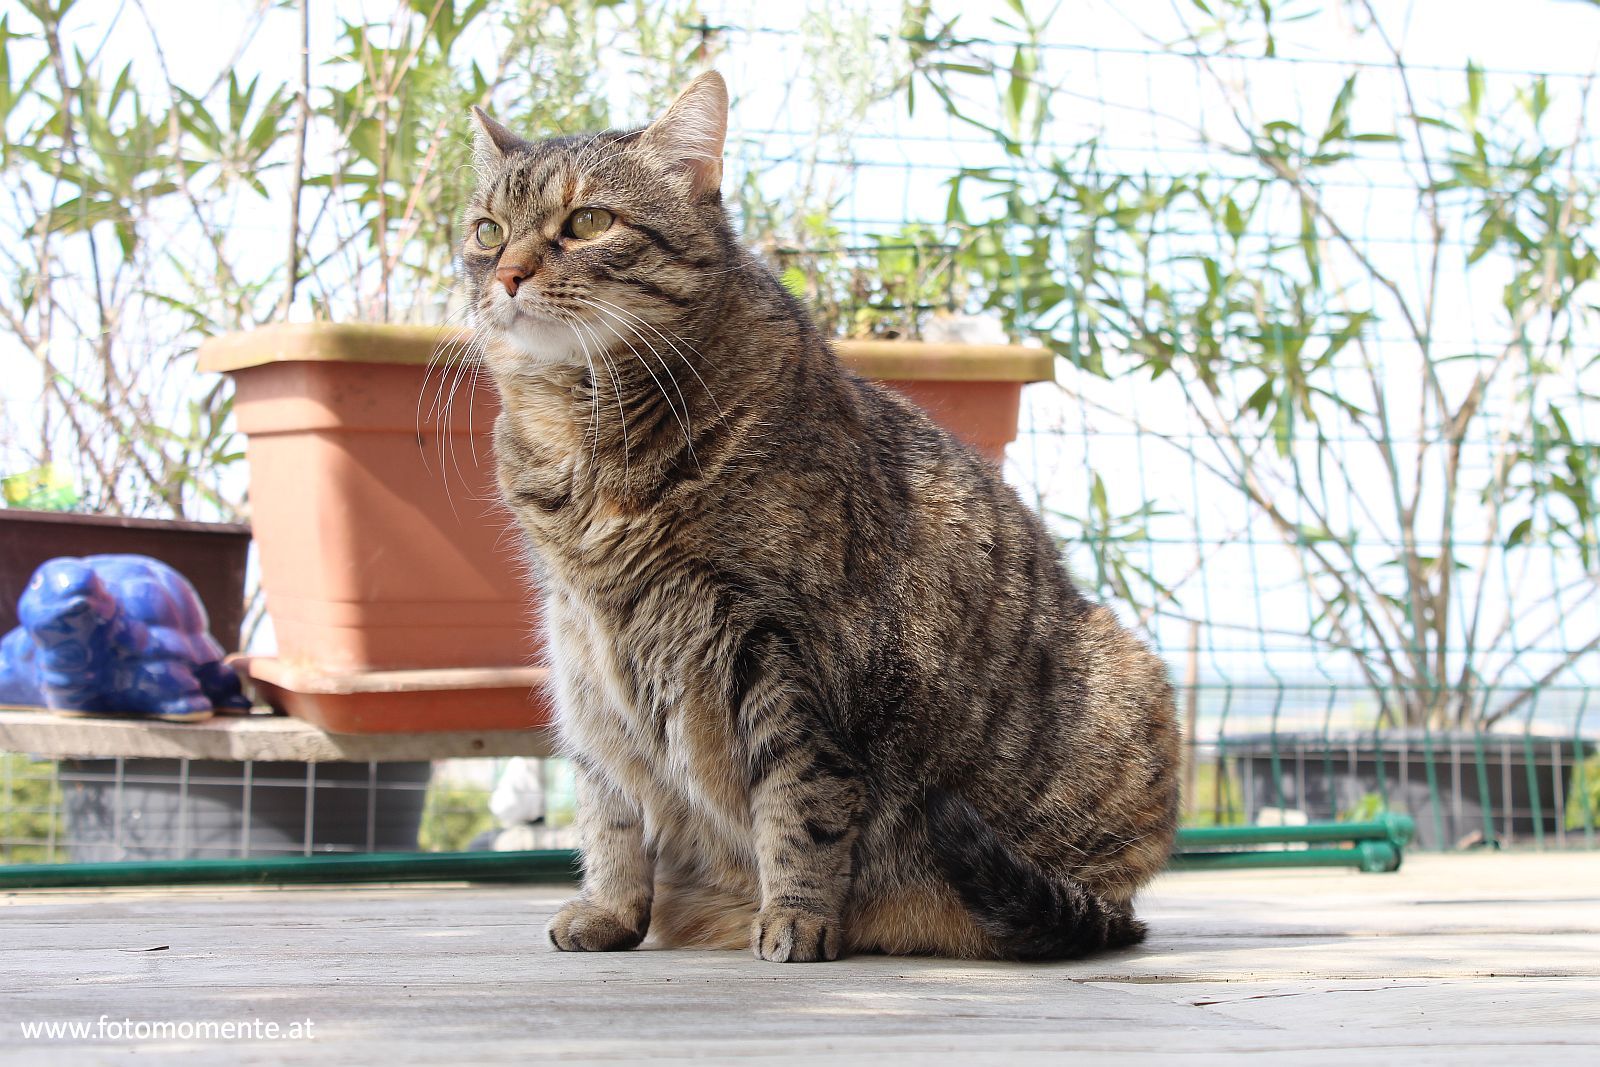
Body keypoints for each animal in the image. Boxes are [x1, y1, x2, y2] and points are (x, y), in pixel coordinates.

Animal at [457, 70, 1184, 966]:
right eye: (488, 230)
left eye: (587, 222)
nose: (507, 275)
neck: (584, 441)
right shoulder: (584, 655)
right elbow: (610, 804)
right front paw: (610, 908)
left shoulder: (786, 650)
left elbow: (799, 802)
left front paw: (796, 916)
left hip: (1131, 693)